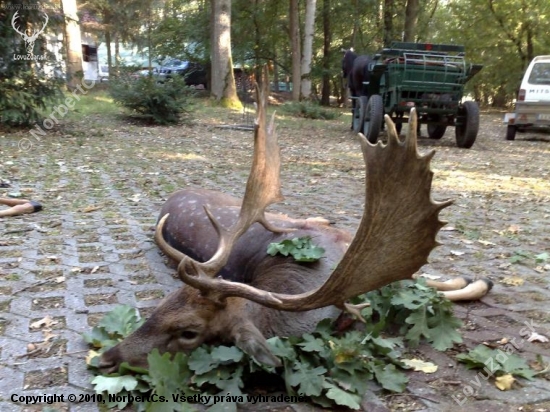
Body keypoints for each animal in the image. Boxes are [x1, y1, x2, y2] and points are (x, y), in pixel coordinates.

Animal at [98, 78, 492, 374]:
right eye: (159, 307)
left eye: (188, 332)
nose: (106, 358)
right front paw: (474, 281)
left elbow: (429, 280)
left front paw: (473, 280)